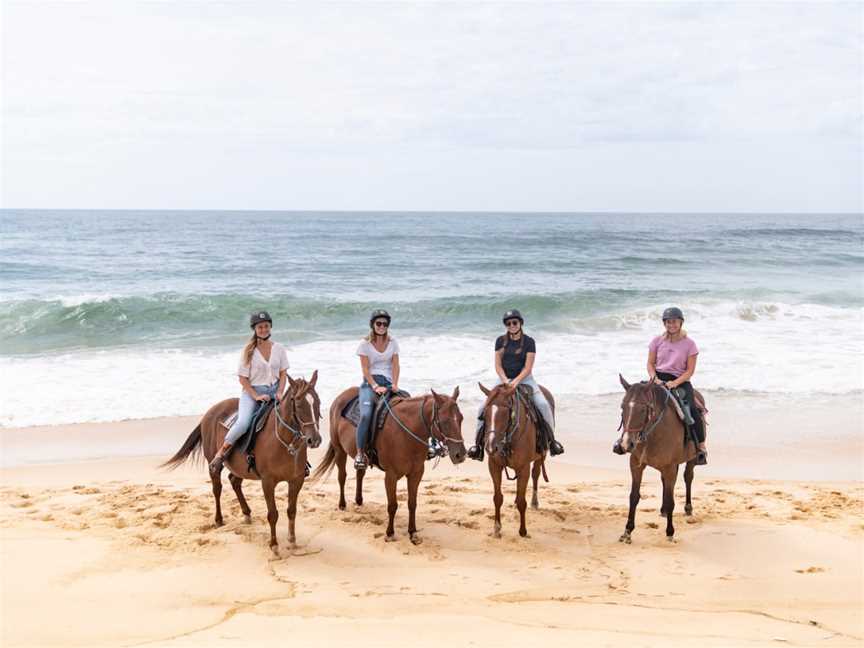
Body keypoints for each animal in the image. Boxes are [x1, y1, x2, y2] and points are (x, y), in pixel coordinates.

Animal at [162, 370, 320, 552]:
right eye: (299, 405)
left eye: (318, 402)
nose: (315, 440)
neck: (285, 443)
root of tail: (210, 411)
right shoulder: (267, 482)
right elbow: (273, 514)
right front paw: (274, 545)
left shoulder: (296, 480)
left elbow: (292, 510)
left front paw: (292, 540)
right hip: (214, 463)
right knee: (217, 488)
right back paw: (219, 519)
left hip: (240, 467)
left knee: (234, 481)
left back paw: (246, 513)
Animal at [312, 388, 466, 544]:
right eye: (445, 421)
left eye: (461, 418)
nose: (461, 454)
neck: (406, 433)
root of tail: (341, 396)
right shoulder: (391, 475)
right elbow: (392, 505)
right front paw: (390, 533)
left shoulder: (416, 474)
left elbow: (412, 503)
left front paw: (412, 532)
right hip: (339, 450)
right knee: (342, 477)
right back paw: (342, 504)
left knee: (360, 474)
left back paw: (359, 501)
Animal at [476, 382, 552, 540]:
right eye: (484, 414)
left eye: (506, 413)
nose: (491, 447)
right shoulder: (494, 465)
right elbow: (497, 498)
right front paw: (497, 528)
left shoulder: (523, 468)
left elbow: (522, 502)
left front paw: (523, 531)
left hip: (541, 455)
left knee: (536, 474)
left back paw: (534, 502)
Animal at [616, 372, 704, 544]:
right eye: (623, 407)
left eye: (643, 409)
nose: (625, 444)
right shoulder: (636, 464)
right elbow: (634, 496)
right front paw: (627, 531)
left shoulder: (669, 467)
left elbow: (671, 501)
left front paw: (670, 532)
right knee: (665, 482)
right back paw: (663, 510)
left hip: (690, 459)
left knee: (688, 477)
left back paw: (688, 508)